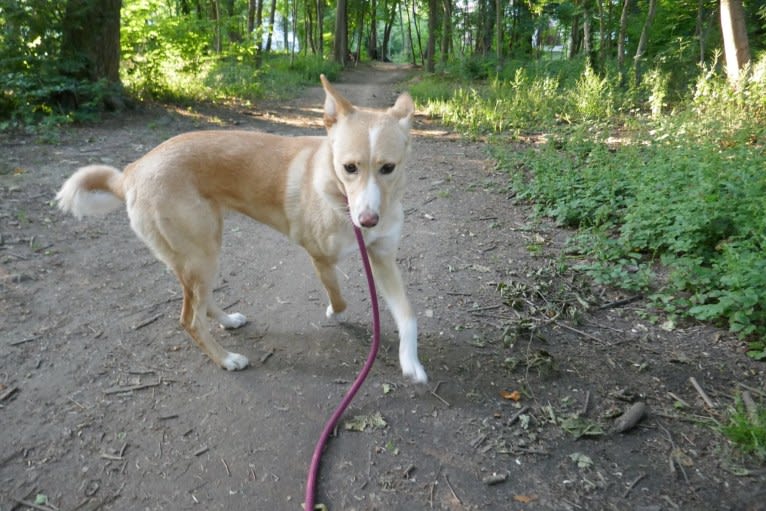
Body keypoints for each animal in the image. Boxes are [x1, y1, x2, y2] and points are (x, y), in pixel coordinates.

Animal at [57, 75, 428, 384]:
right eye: (349, 167)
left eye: (388, 168)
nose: (367, 220)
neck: (338, 193)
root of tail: (131, 172)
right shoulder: (321, 258)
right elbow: (339, 299)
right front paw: (334, 314)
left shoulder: (382, 258)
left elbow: (408, 316)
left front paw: (411, 363)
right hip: (202, 254)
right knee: (190, 319)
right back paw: (226, 359)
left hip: (195, 256)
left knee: (201, 302)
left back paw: (228, 322)